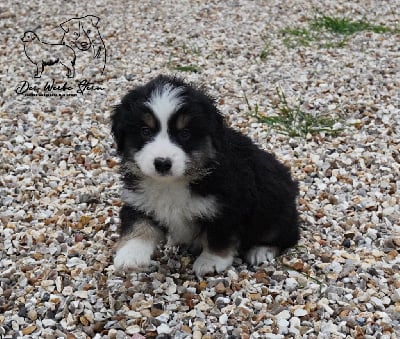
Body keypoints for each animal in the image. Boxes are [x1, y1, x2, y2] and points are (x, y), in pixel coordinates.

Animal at [111, 75, 298, 278]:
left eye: (185, 133)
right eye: (145, 131)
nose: (162, 163)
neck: (172, 183)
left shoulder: (226, 207)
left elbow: (218, 237)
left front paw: (211, 262)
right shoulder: (138, 199)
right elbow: (138, 225)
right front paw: (130, 255)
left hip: (274, 209)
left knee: (285, 234)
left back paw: (261, 251)